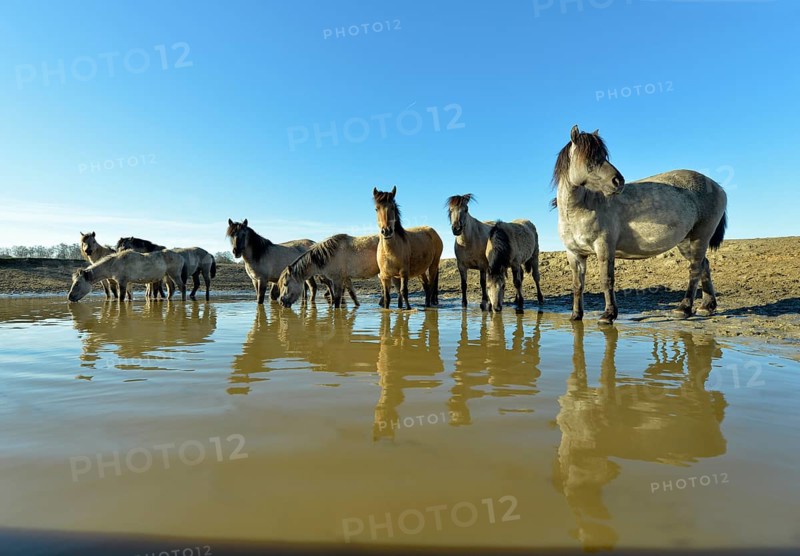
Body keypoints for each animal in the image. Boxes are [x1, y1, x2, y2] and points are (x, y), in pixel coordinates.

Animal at [552, 125, 727, 324]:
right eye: (589, 158)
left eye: (603, 155)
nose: (618, 181)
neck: (580, 209)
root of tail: (718, 187)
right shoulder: (575, 254)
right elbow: (577, 285)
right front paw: (576, 315)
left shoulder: (604, 248)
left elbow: (607, 280)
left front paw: (608, 315)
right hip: (686, 242)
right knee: (704, 265)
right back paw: (707, 306)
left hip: (700, 237)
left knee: (695, 269)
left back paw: (684, 309)